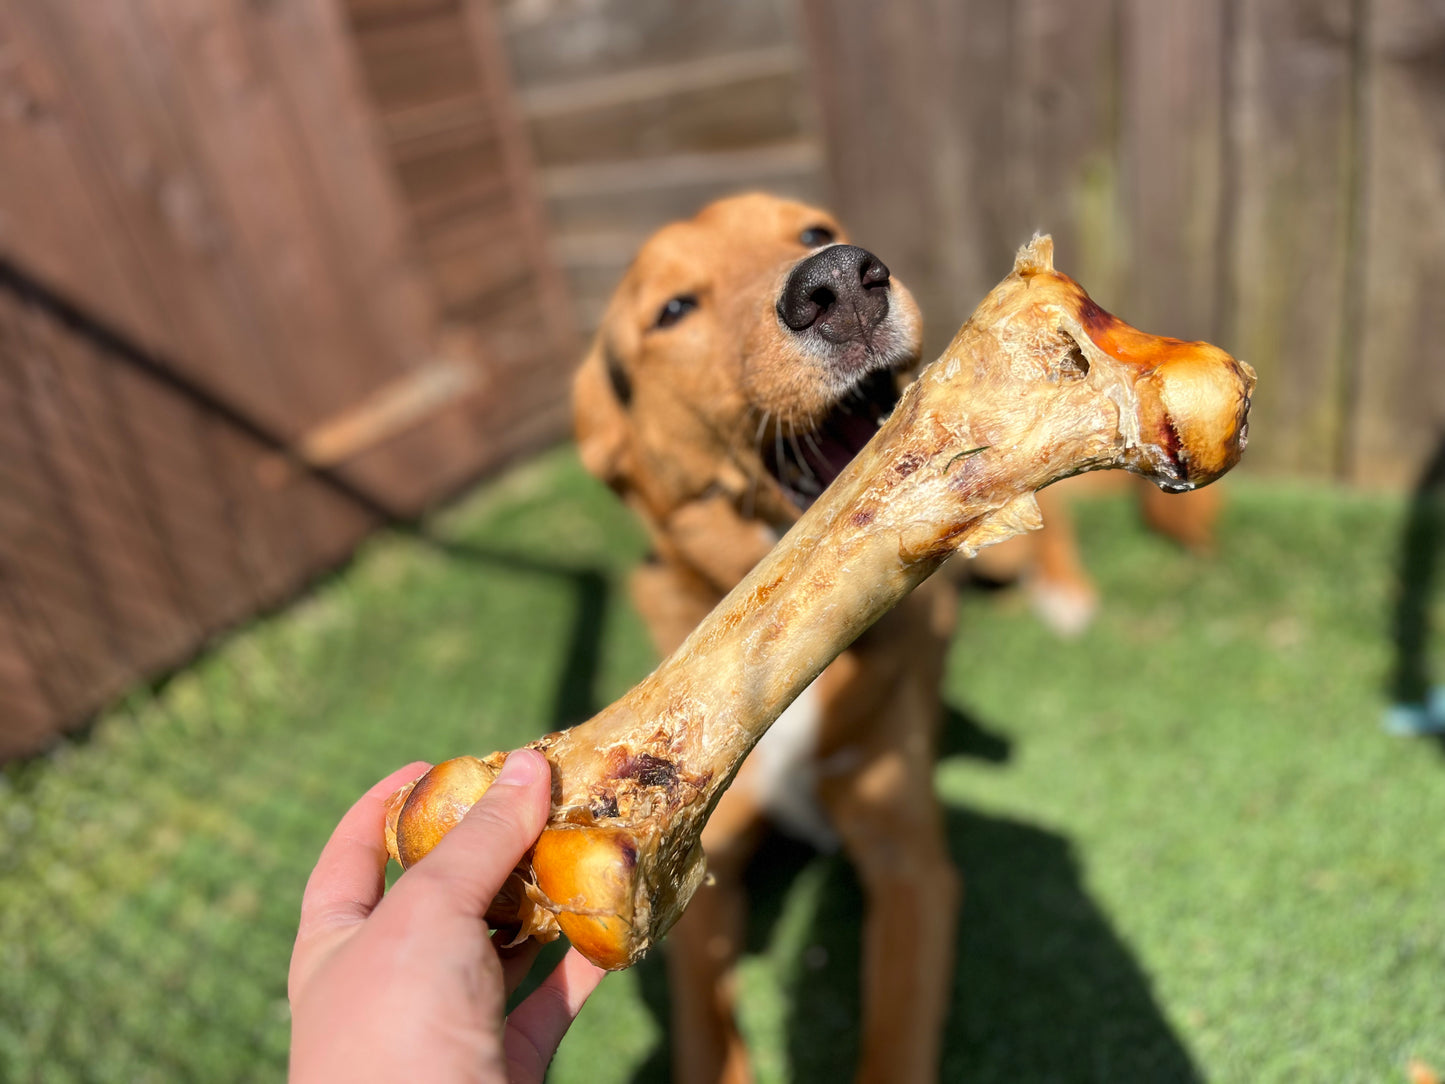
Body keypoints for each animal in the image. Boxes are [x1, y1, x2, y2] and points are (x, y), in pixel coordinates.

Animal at [572, 198, 959, 1084]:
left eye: (811, 233)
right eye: (674, 309)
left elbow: (894, 1046)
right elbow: (706, 1041)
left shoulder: (910, 865)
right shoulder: (696, 884)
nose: (840, 282)